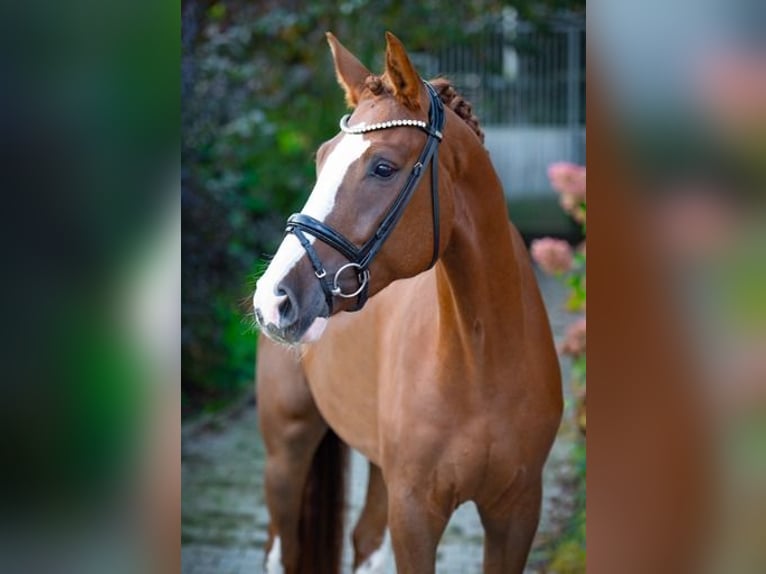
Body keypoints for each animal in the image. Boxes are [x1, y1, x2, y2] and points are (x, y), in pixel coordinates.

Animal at [255, 32, 560, 574]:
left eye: (382, 167)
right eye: (320, 159)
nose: (274, 299)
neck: (480, 359)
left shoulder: (517, 511)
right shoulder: (416, 514)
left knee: (363, 540)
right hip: (286, 450)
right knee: (279, 547)